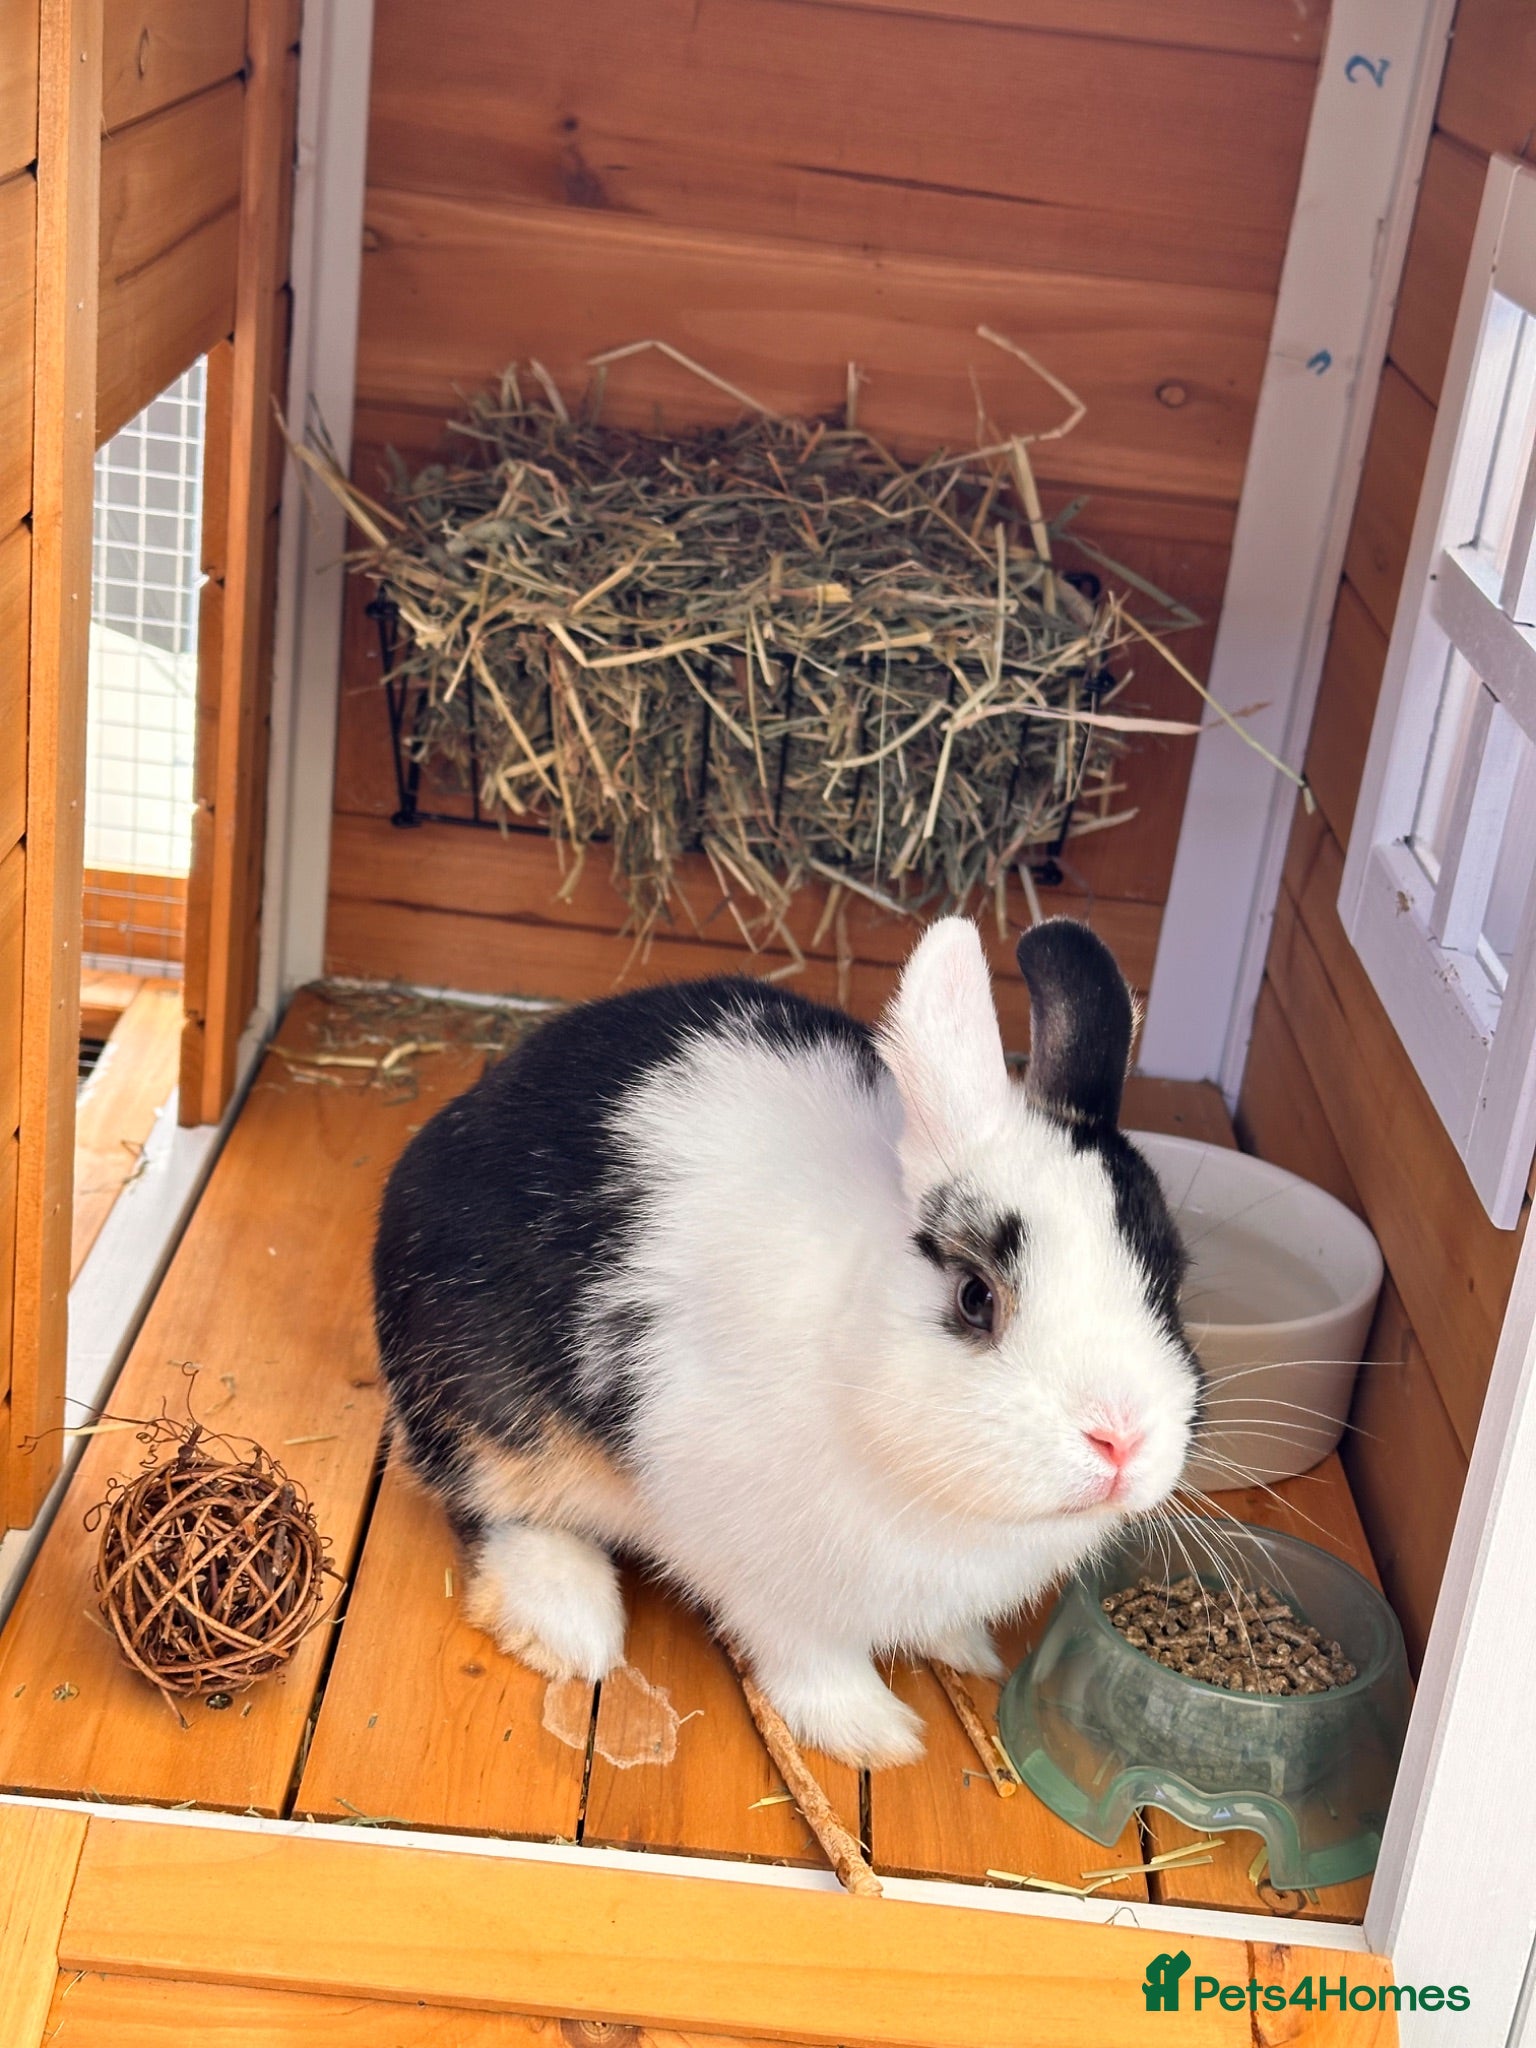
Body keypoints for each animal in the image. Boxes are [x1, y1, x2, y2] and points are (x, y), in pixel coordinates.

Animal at [373, 915, 1200, 1768]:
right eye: (976, 1298)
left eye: (1169, 1287)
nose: (1121, 1441)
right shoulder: (770, 1578)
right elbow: (810, 1658)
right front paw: (874, 1736)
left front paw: (966, 1649)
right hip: (485, 1410)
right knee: (490, 1507)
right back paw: (569, 1623)